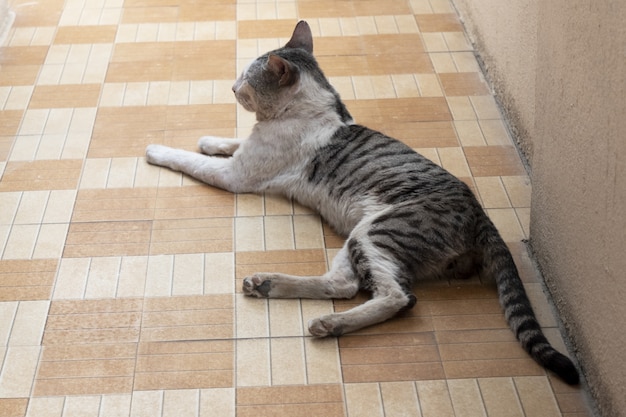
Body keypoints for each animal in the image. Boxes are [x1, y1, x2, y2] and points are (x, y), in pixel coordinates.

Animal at [144, 19, 576, 384]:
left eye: (247, 79)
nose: (232, 87)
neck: (309, 109)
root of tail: (481, 215)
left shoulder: (237, 175)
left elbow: (190, 160)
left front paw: (157, 150)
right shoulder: (247, 153)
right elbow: (229, 141)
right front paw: (209, 139)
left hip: (377, 231)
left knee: (396, 297)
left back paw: (328, 324)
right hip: (356, 237)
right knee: (342, 285)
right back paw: (268, 284)